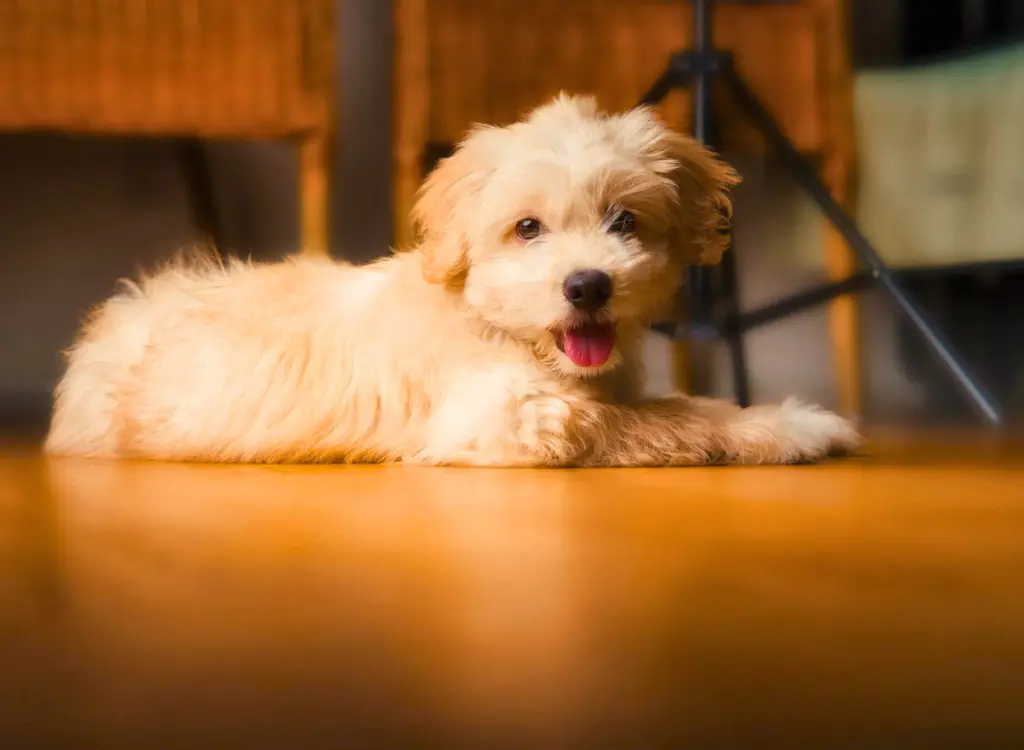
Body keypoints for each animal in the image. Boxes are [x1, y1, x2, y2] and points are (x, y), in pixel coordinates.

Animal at [49, 94, 864, 465]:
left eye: (624, 221)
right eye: (527, 228)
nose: (588, 286)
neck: (494, 325)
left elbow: (668, 403)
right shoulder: (509, 418)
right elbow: (665, 417)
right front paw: (797, 425)